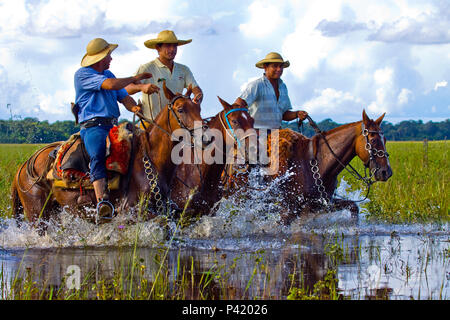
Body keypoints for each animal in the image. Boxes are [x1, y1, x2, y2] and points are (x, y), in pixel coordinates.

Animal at [11, 82, 204, 225]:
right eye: (180, 109)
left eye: (199, 109)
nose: (205, 136)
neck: (151, 158)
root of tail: (23, 166)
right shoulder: (130, 212)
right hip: (37, 214)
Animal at [223, 109, 392, 224]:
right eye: (373, 140)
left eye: (385, 139)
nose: (386, 172)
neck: (318, 164)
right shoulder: (289, 211)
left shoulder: (322, 204)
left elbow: (353, 207)